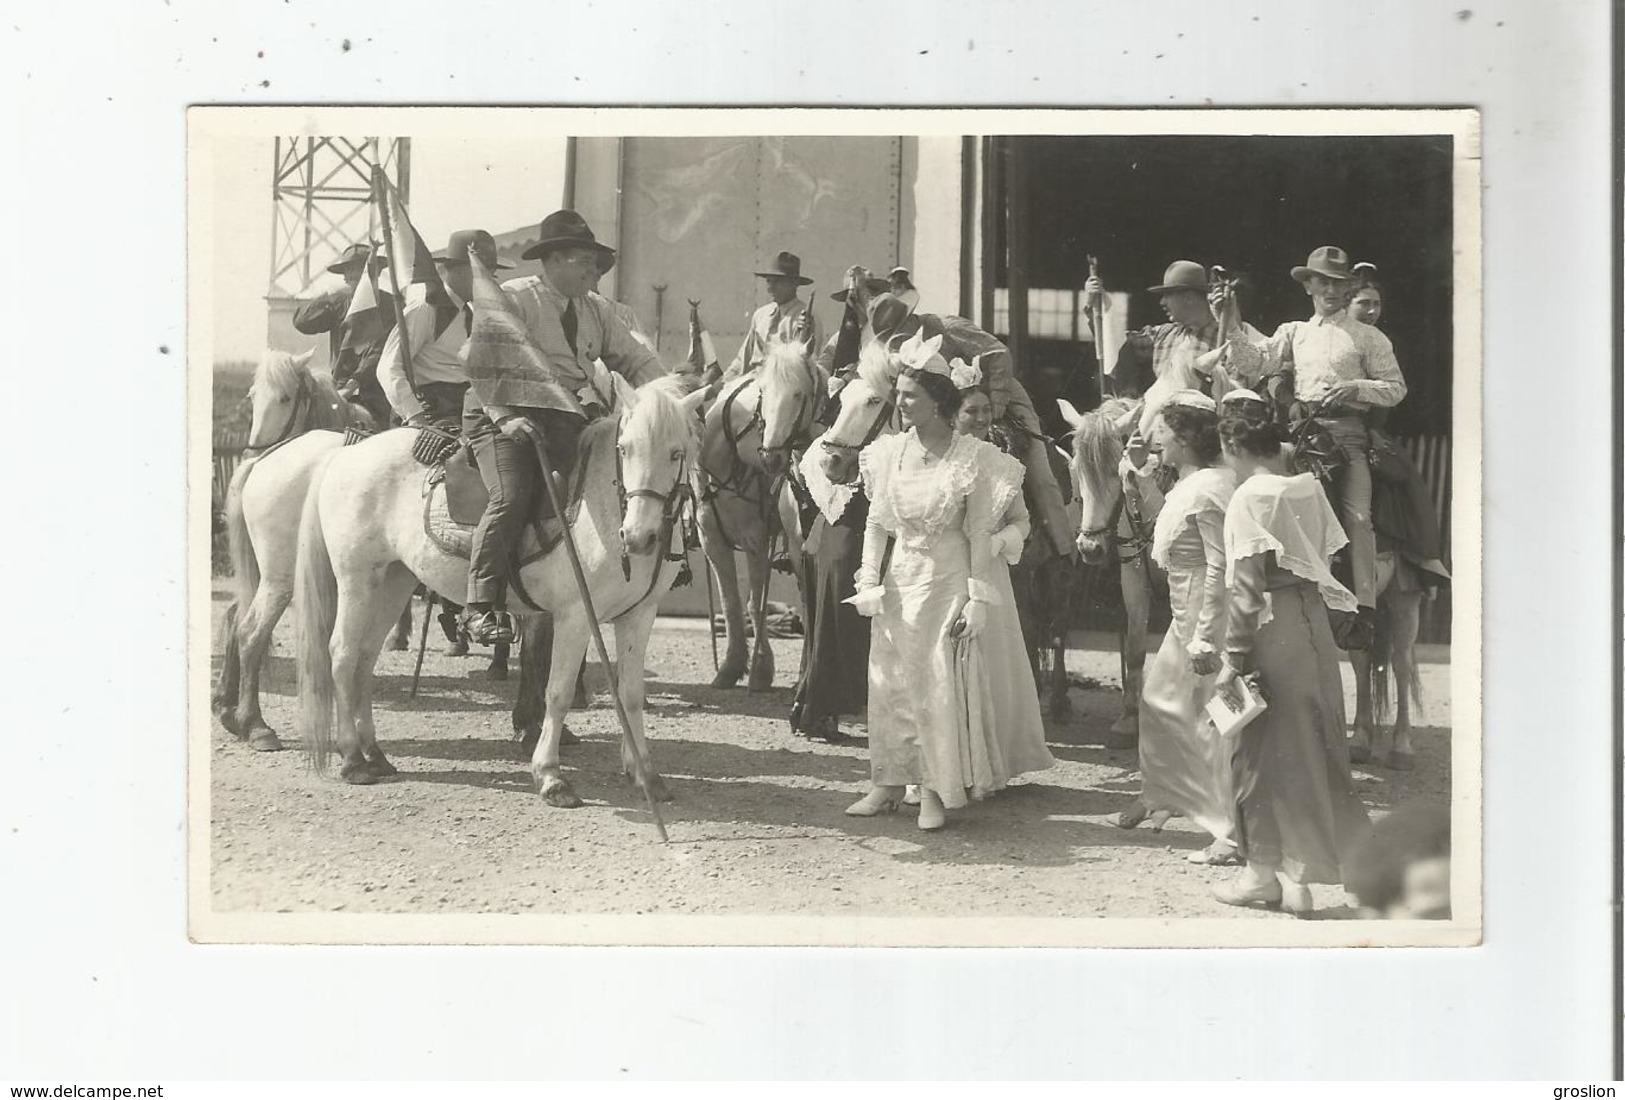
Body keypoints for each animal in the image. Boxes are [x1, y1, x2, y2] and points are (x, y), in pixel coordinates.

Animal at [295, 373, 702, 802]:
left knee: (365, 658)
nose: (639, 537)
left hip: (393, 581)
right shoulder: (575, 616)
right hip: (357, 579)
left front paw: (645, 775)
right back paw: (353, 760)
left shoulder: (639, 616)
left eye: (677, 453)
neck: (603, 509)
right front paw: (550, 776)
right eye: (625, 449)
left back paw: (374, 754)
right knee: (342, 654)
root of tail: (344, 455)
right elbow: (557, 693)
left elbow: (631, 695)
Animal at [698, 339, 825, 692]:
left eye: (800, 394)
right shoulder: (713, 542)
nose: (771, 458)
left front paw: (759, 671)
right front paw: (730, 667)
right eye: (762, 395)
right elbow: (731, 602)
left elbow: (756, 603)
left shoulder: (757, 542)